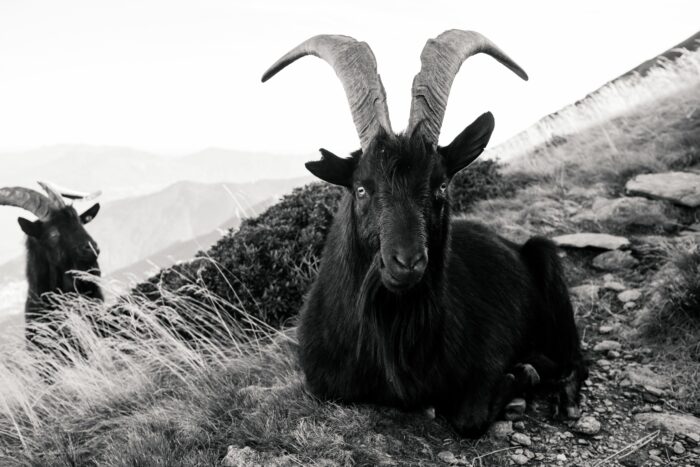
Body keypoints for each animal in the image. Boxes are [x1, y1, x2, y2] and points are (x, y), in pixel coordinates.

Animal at [262, 30, 588, 437]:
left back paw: (564, 398)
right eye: (361, 188)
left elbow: (470, 419)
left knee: (574, 357)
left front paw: (523, 374)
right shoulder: (324, 386)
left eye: (441, 185)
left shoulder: (489, 353)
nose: (407, 262)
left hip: (545, 258)